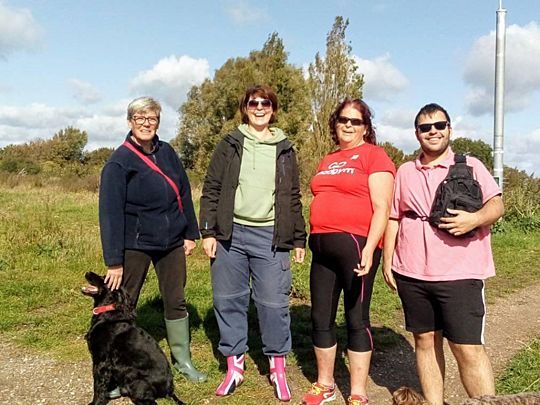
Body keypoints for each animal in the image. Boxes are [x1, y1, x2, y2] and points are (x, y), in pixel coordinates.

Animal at [81, 272, 184, 404]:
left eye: (104, 279)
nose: (87, 272)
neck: (108, 312)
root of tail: (169, 390)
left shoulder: (101, 361)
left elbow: (98, 387)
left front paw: (95, 402)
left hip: (136, 380)